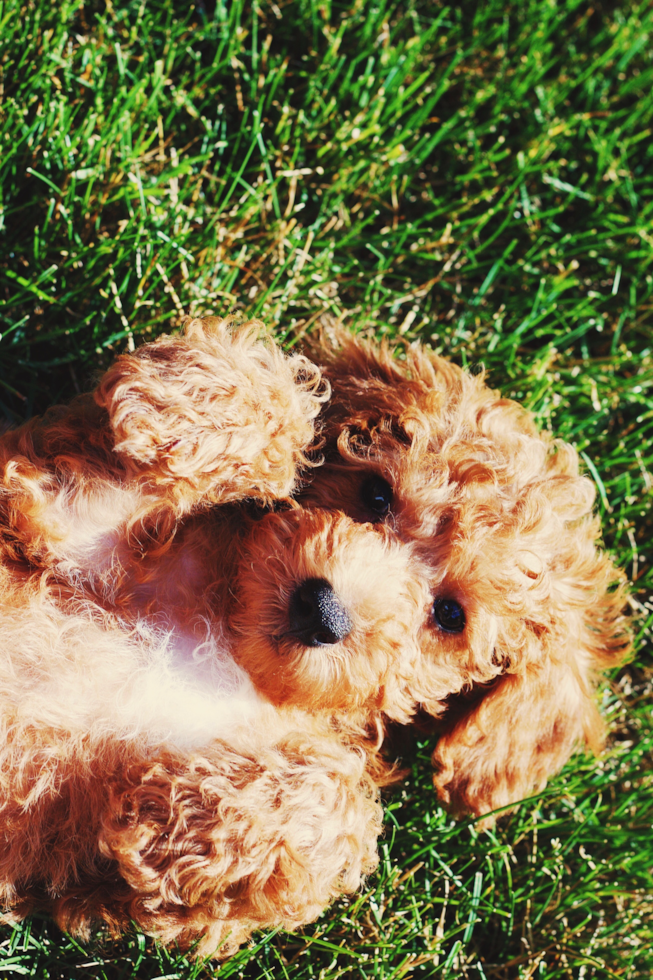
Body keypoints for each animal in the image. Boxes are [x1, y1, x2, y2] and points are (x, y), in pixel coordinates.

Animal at [0, 318, 628, 952]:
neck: (235, 647)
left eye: (451, 615)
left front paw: (183, 813)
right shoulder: (59, 509)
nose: (322, 610)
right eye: (375, 494)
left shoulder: (205, 905)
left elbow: (341, 810)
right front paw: (185, 405)